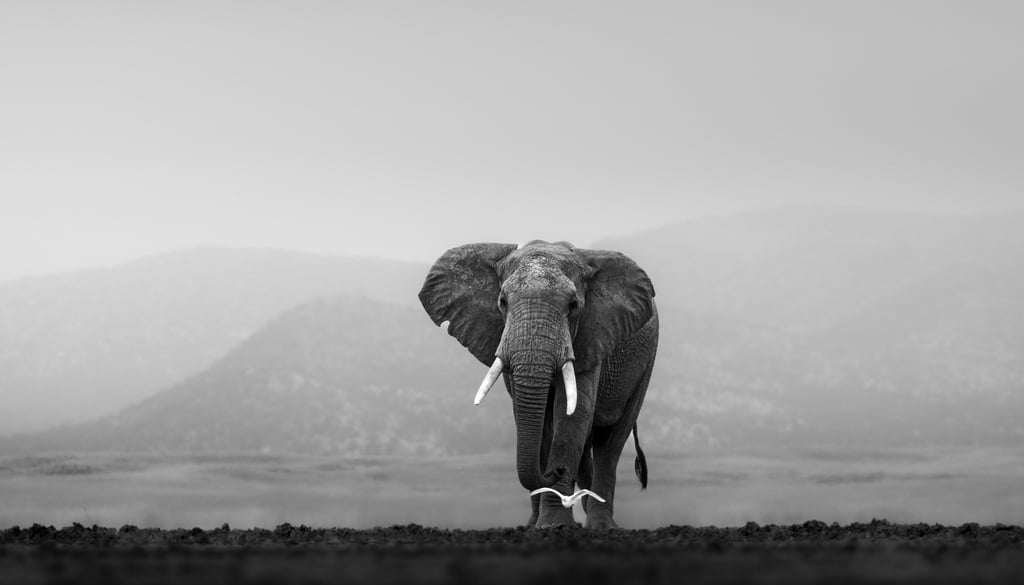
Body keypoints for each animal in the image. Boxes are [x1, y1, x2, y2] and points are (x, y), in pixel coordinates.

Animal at [418, 240, 658, 529]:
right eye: (502, 302)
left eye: (574, 305)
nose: (556, 470)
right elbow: (537, 419)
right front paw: (538, 526)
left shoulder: (591, 335)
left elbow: (571, 414)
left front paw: (555, 525)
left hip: (645, 363)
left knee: (610, 442)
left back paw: (601, 526)